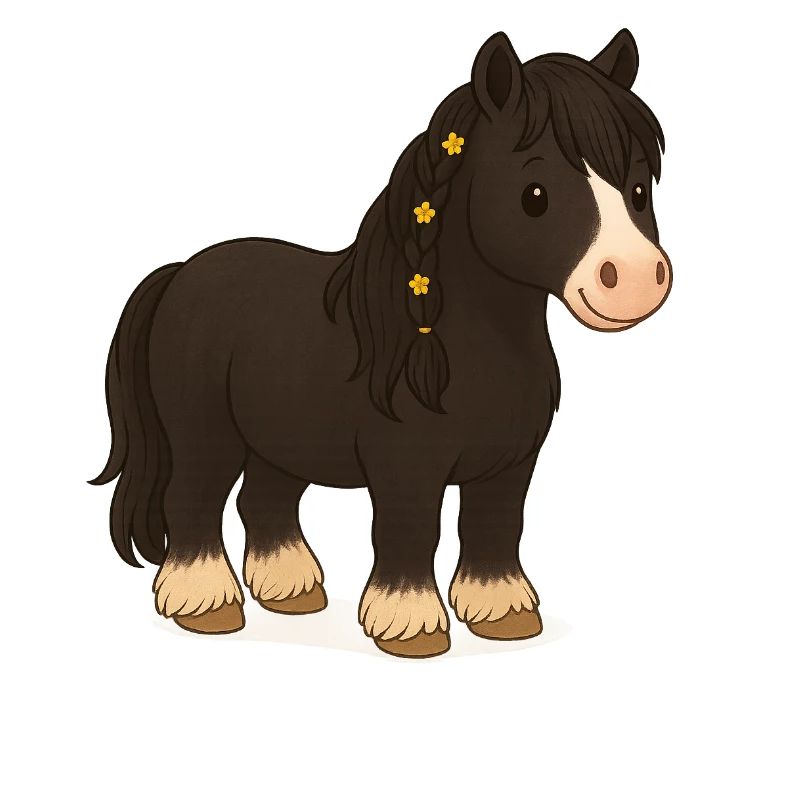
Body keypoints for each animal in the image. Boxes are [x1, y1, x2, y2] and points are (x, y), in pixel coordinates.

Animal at [92, 29, 672, 658]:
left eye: (639, 188)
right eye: (535, 194)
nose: (635, 279)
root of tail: (181, 273)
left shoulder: (509, 466)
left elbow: (494, 529)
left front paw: (503, 614)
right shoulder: (406, 466)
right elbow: (410, 530)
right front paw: (412, 627)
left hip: (281, 439)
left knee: (264, 502)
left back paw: (291, 592)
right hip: (205, 436)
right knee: (193, 501)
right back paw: (206, 606)